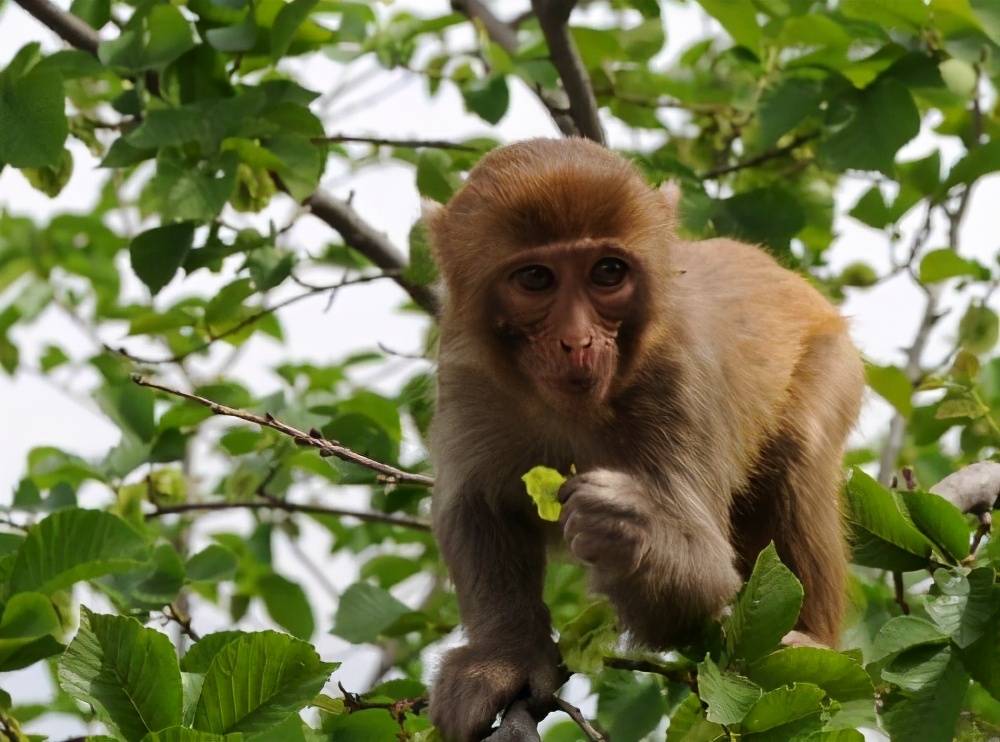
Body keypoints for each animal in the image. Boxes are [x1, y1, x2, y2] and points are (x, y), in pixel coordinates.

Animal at [422, 137, 868, 740]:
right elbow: (476, 507)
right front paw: (500, 660)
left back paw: (812, 640)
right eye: (536, 278)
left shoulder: (679, 376)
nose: (577, 342)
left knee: (800, 450)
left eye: (608, 271)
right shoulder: (466, 371)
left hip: (834, 357)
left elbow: (707, 572)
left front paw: (624, 529)